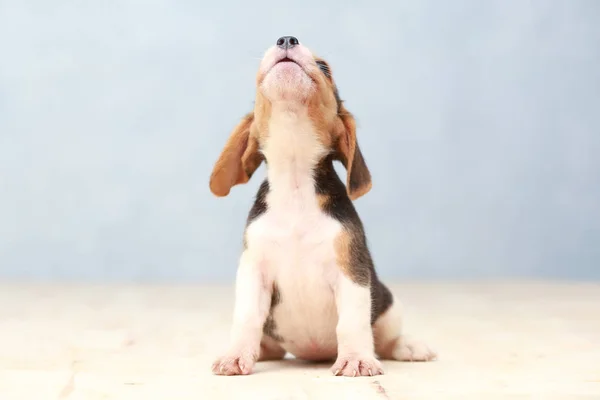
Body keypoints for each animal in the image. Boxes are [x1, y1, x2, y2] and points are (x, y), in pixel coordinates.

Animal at [209, 36, 434, 376]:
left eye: (324, 67)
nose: (287, 39)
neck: (295, 180)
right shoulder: (253, 271)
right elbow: (247, 318)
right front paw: (236, 355)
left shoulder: (350, 271)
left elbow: (352, 323)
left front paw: (356, 358)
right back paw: (260, 351)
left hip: (389, 304)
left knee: (385, 340)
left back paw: (408, 346)